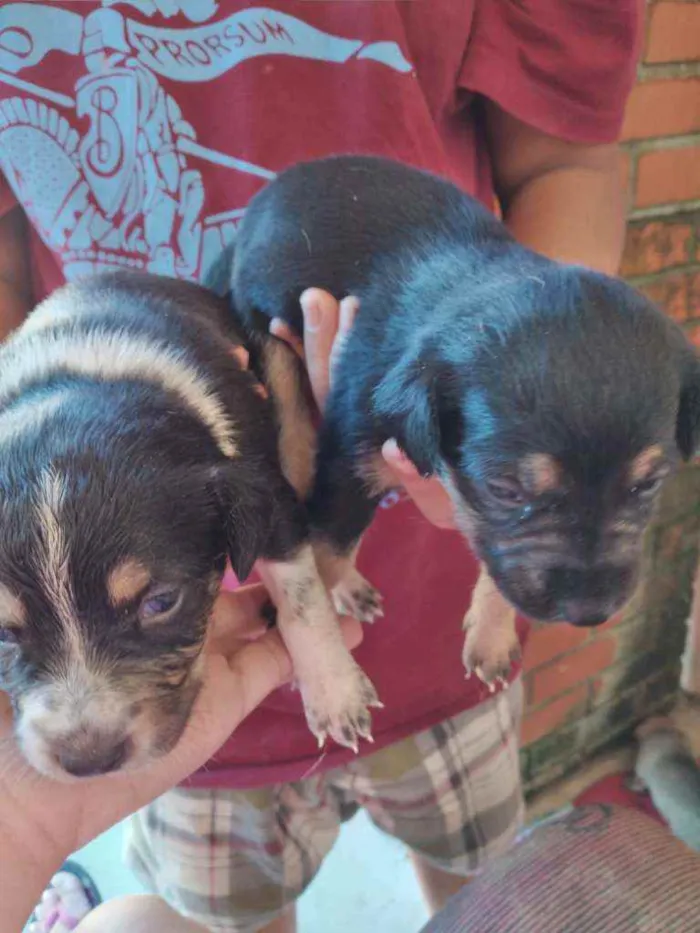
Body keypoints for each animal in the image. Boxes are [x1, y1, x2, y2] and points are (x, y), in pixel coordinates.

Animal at [0, 270, 380, 780]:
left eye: (162, 603)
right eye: (1, 632)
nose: (90, 760)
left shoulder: (270, 500)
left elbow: (303, 602)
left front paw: (336, 694)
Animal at [231, 151, 700, 676]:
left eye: (649, 485)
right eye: (506, 490)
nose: (590, 613)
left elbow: (498, 557)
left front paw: (492, 635)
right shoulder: (350, 457)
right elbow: (328, 548)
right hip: (265, 331)